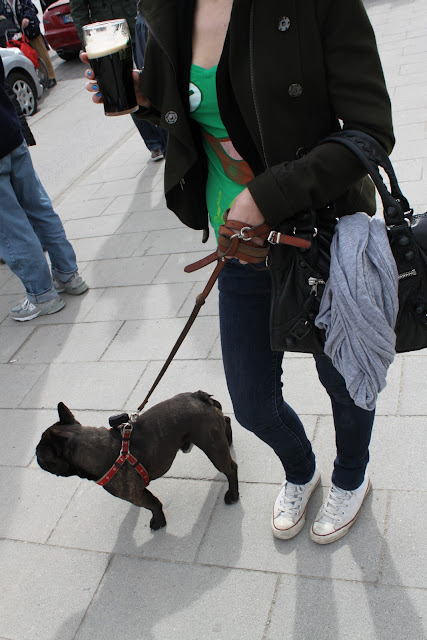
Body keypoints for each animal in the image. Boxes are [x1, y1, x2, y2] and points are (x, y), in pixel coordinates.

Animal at [36, 390, 239, 530]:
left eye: (42, 455)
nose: (35, 454)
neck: (99, 449)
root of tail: (198, 396)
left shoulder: (135, 495)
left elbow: (154, 504)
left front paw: (158, 522)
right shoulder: (138, 490)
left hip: (211, 446)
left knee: (230, 468)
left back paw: (233, 495)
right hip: (214, 431)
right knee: (227, 419)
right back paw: (229, 439)